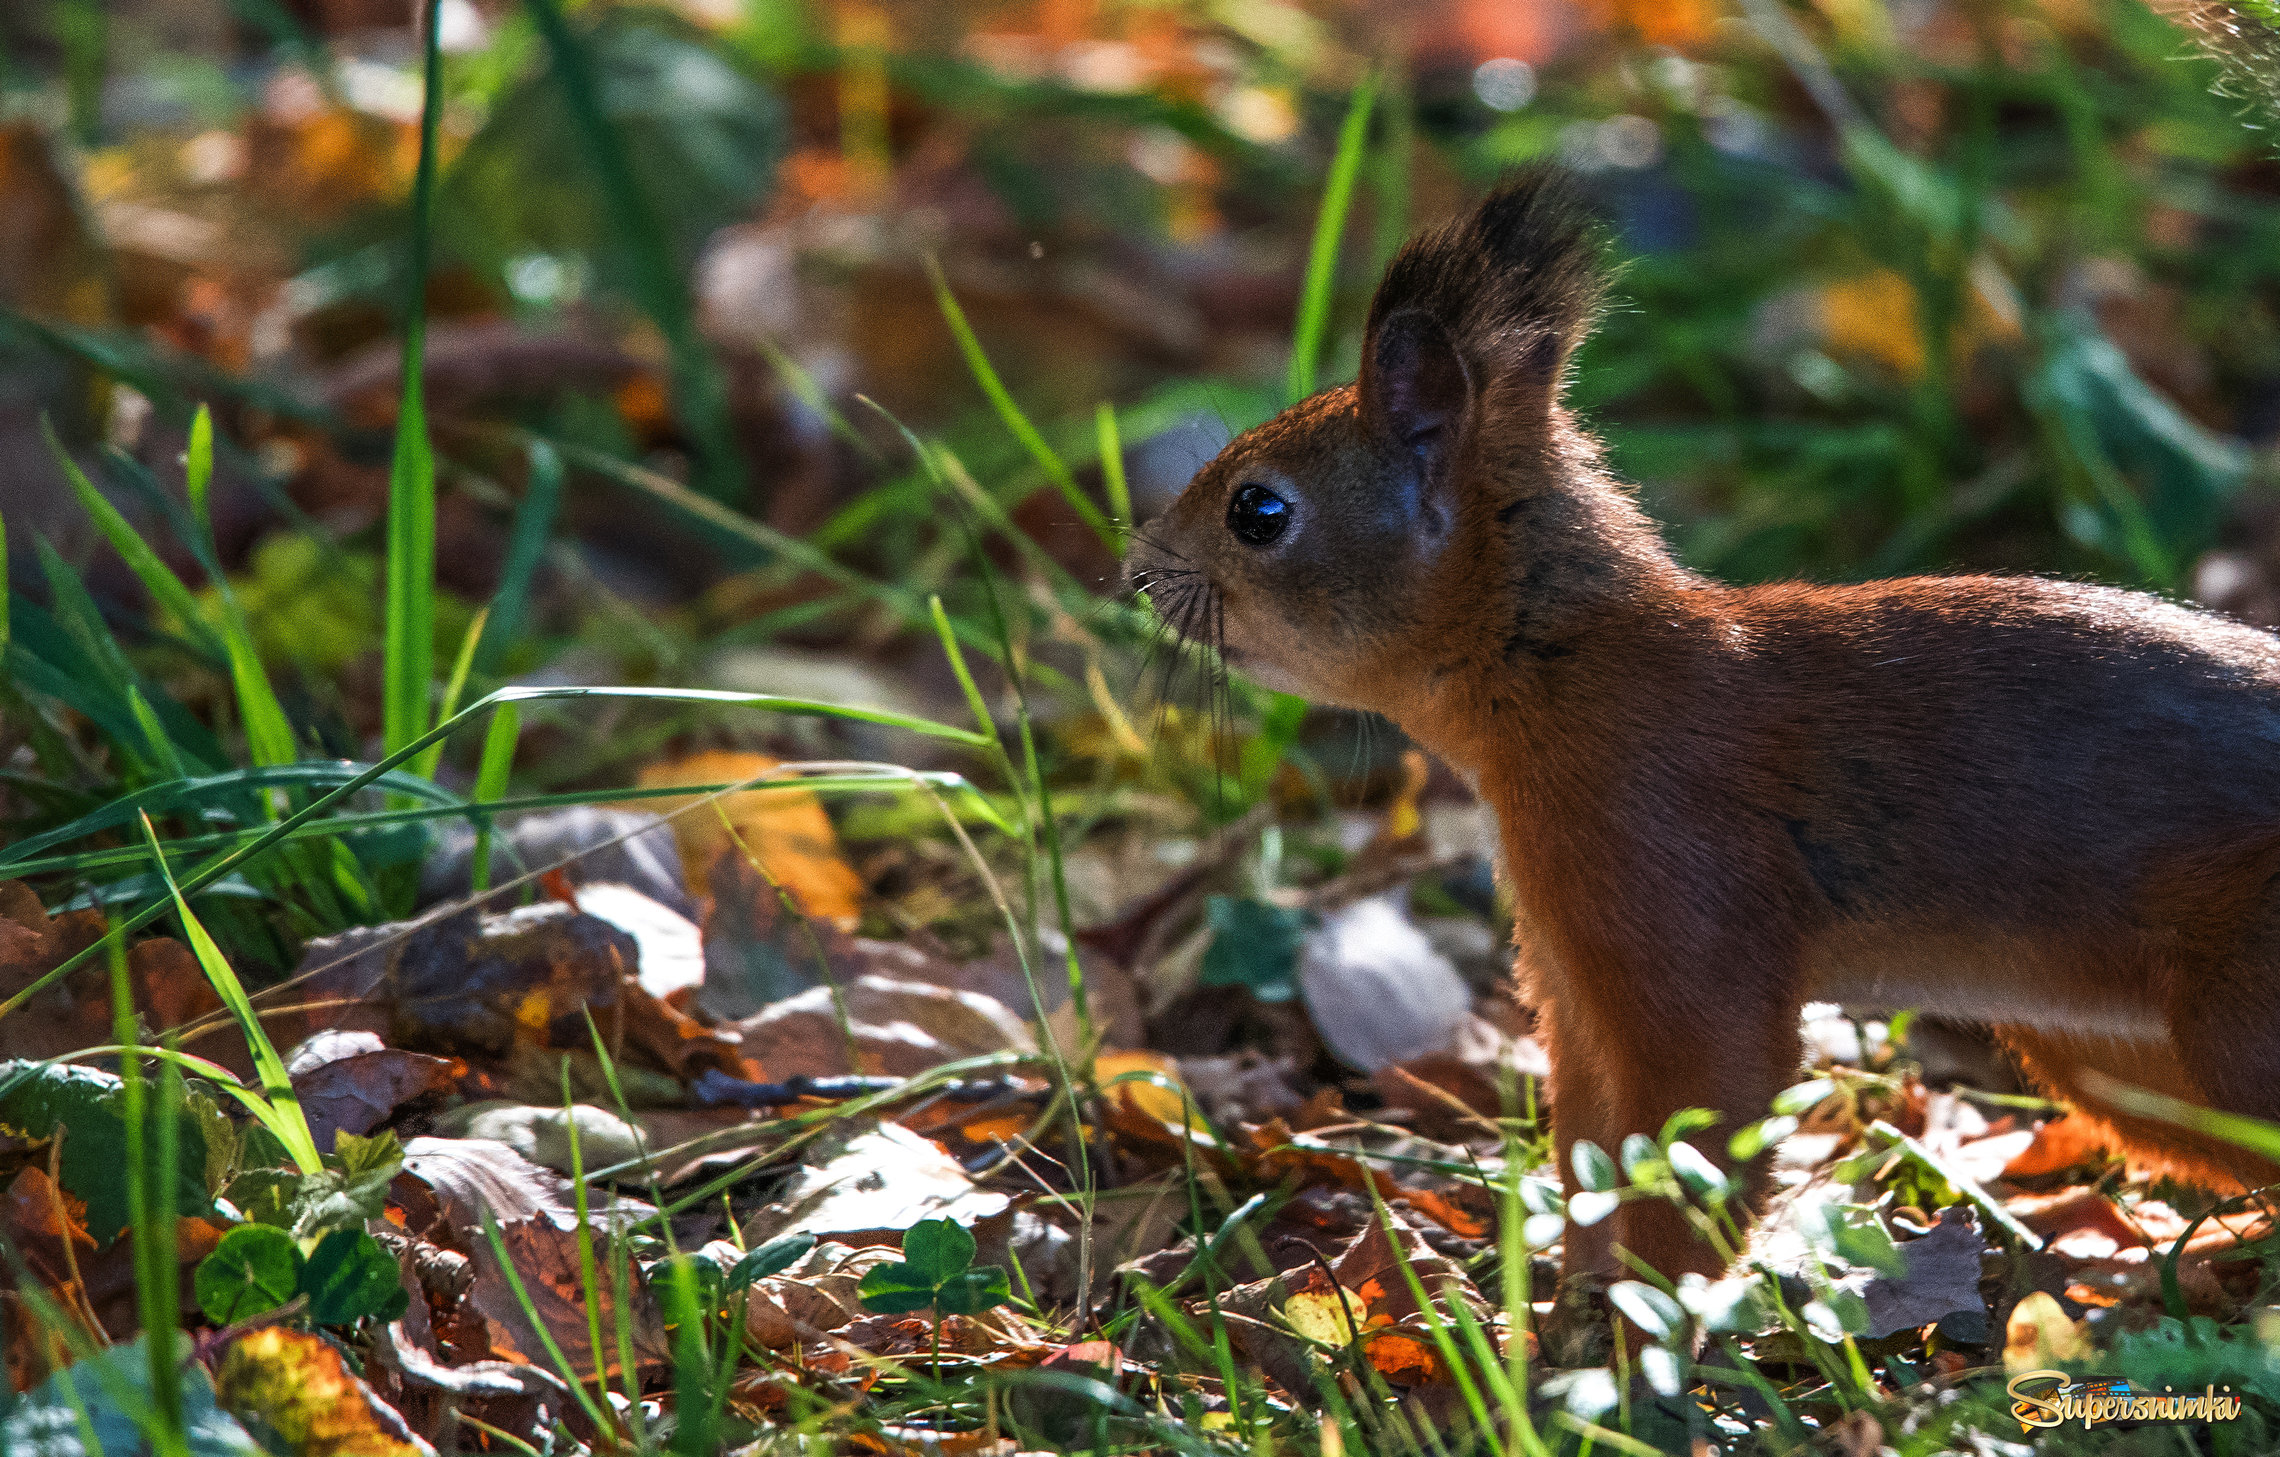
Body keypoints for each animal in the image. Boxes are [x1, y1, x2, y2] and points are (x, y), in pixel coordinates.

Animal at [1130, 165, 2280, 1295]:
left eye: (1258, 512)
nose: (1140, 569)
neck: (1563, 666)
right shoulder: (1571, 965)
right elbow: (1592, 1141)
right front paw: (1569, 1301)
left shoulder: (1677, 885)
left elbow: (1698, 1118)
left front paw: (1643, 1325)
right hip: (2120, 1056)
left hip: (2239, 1011)